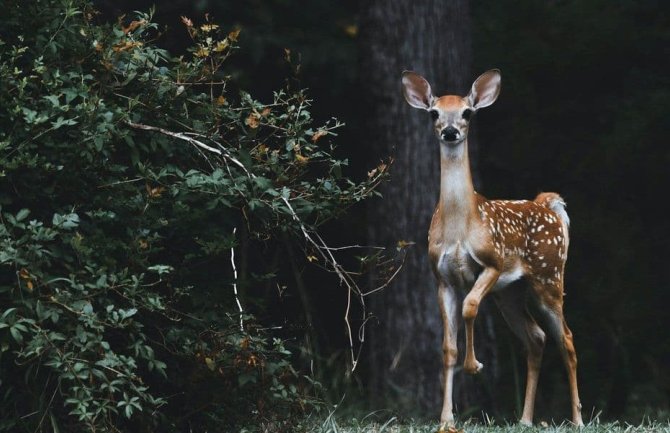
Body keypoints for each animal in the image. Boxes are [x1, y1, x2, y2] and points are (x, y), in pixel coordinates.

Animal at [402, 69, 584, 426]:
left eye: (467, 112)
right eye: (434, 113)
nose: (450, 131)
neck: (460, 227)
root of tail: (548, 204)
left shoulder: (493, 262)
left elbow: (470, 306)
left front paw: (474, 365)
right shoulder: (441, 278)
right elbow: (447, 347)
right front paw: (446, 419)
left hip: (549, 276)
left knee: (566, 339)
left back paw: (578, 419)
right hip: (510, 293)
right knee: (536, 338)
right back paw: (525, 419)